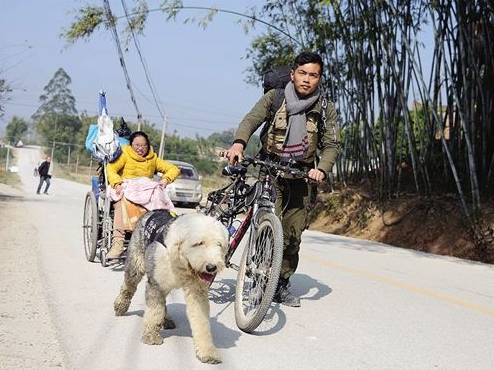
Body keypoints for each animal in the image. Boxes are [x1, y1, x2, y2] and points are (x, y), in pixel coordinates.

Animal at [113, 211, 228, 364]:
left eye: (219, 244)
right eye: (199, 243)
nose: (211, 267)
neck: (182, 263)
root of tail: (152, 211)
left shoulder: (197, 291)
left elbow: (201, 321)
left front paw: (208, 352)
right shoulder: (156, 283)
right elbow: (154, 310)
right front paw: (151, 336)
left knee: (164, 301)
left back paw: (166, 320)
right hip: (136, 263)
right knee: (129, 285)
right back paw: (120, 306)